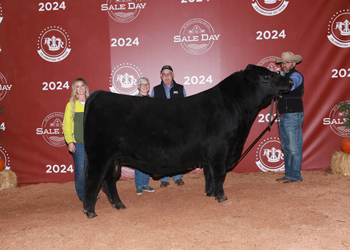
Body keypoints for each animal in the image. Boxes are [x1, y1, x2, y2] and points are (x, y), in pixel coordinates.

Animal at [82, 65, 292, 219]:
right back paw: (90, 211)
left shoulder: (211, 156)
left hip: (112, 158)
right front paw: (222, 197)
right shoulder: (220, 152)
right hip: (99, 155)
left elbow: (209, 175)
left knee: (108, 180)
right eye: (266, 76)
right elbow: (219, 175)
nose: (290, 80)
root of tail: (99, 94)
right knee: (93, 179)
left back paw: (118, 205)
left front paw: (210, 194)